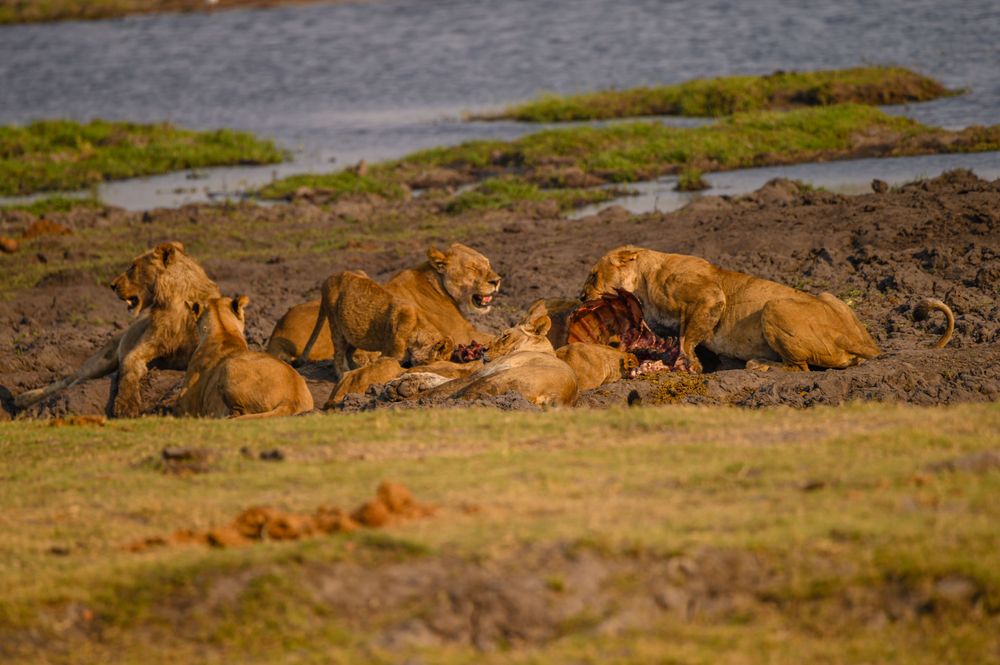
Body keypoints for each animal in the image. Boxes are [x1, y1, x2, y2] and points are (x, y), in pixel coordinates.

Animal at [14, 239, 221, 416]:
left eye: (133, 266)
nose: (112, 285)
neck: (173, 301)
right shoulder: (143, 347)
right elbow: (128, 370)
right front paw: (126, 405)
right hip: (102, 360)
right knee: (69, 380)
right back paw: (25, 399)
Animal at [296, 268, 454, 378]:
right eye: (434, 362)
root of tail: (327, 280)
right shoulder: (390, 353)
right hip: (335, 325)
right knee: (338, 355)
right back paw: (343, 375)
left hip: (354, 333)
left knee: (348, 352)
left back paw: (355, 370)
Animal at [580, 248, 952, 374]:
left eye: (593, 275)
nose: (580, 294)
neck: (644, 277)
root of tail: (860, 339)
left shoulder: (709, 295)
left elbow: (688, 336)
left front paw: (692, 365)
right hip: (829, 295)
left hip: (774, 306)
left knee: (801, 368)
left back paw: (760, 365)